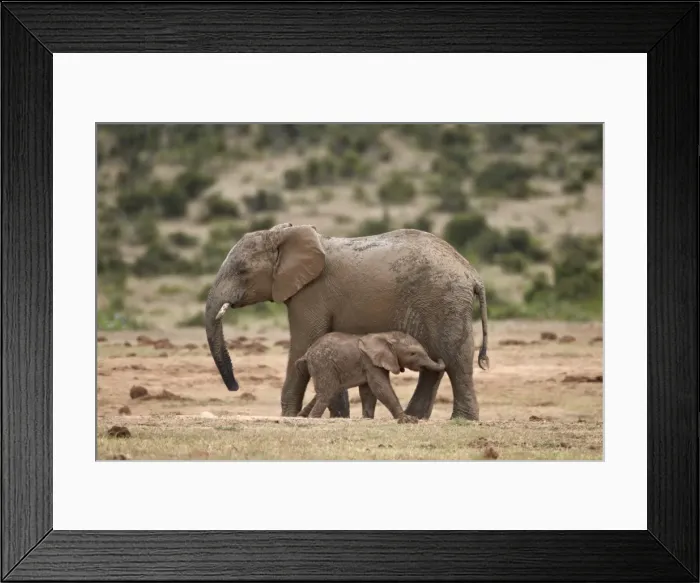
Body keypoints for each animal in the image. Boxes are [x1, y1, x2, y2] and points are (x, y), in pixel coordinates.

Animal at [295, 331, 446, 422]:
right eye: (413, 354)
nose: (439, 357)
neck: (386, 336)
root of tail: (307, 353)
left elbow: (368, 391)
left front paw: (367, 418)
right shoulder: (370, 362)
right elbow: (380, 387)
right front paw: (407, 420)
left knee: (327, 391)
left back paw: (301, 416)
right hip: (323, 363)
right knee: (327, 391)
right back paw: (313, 418)